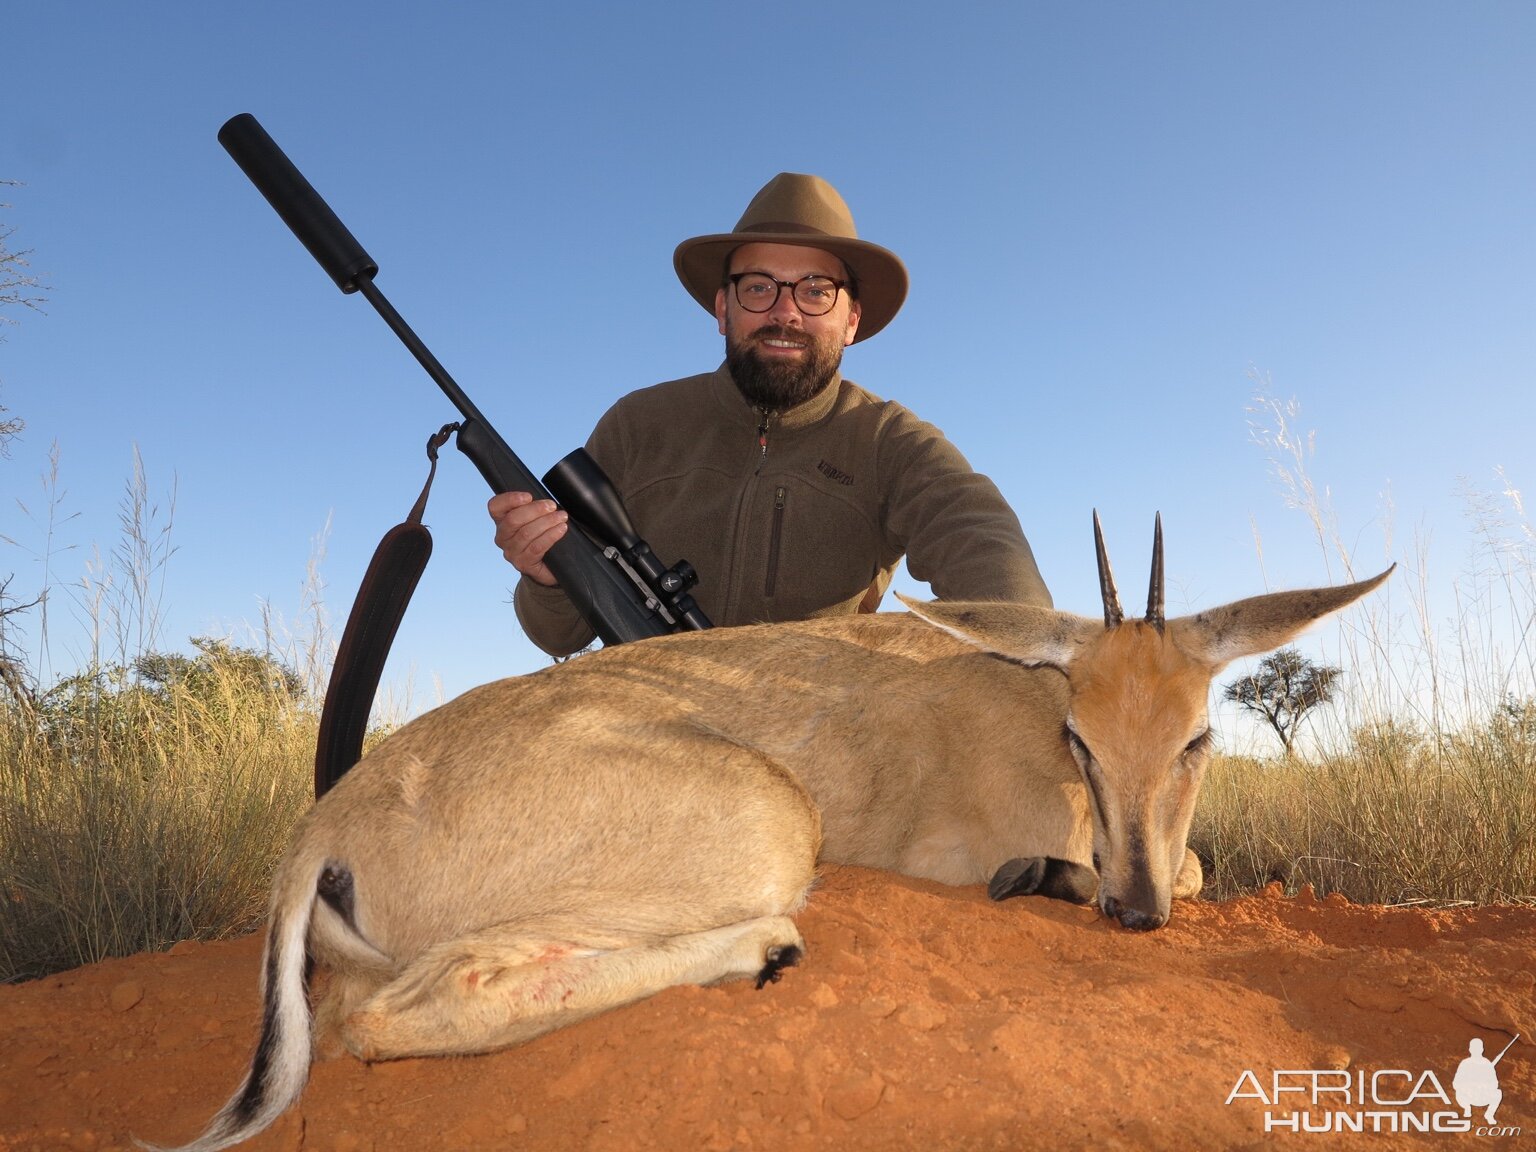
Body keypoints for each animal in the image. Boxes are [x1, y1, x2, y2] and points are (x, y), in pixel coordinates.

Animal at [152, 522, 1394, 1152]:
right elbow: (1185, 865)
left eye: (1198, 736)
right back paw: (763, 949)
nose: (1135, 912)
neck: (1017, 700)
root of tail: (327, 824)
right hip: (765, 828)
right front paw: (1050, 878)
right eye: (1081, 736)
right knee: (383, 1017)